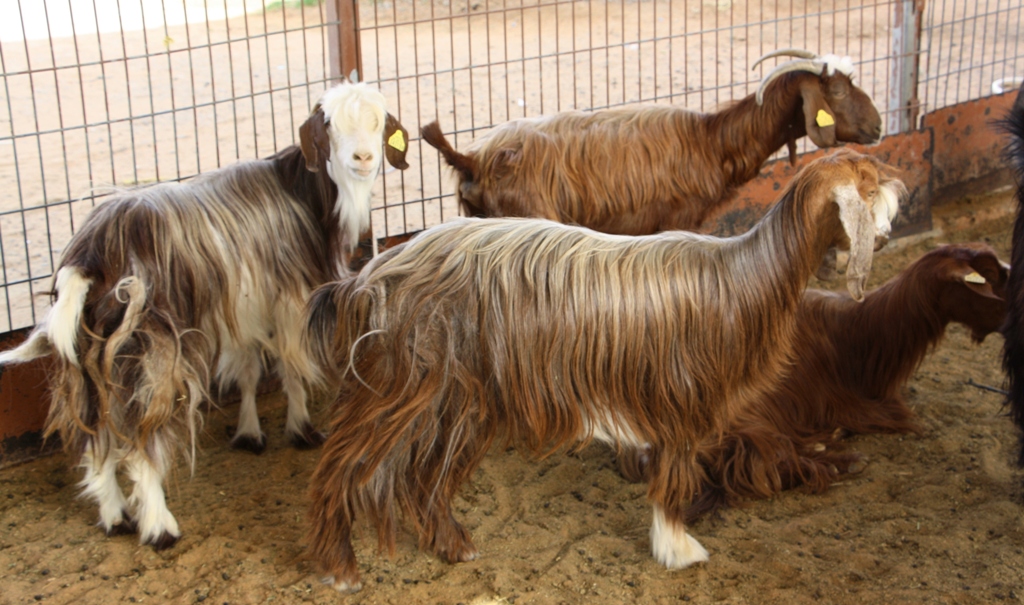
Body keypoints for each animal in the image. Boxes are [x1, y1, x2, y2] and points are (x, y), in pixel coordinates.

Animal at [301, 149, 905, 593]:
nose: (891, 219)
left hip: (456, 393)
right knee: (339, 468)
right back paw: (339, 567)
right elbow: (676, 476)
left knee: (423, 477)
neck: (743, 277)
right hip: (397, 383)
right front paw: (678, 549)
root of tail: (367, 278)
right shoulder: (682, 399)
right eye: (869, 187)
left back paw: (454, 545)